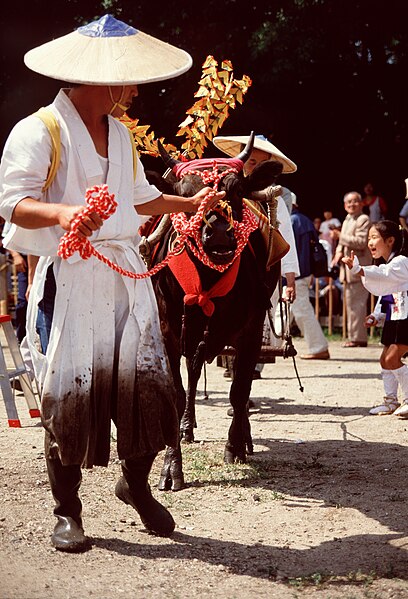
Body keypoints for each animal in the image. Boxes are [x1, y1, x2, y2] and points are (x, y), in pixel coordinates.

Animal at [147, 136, 284, 492]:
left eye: (235, 190)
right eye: (184, 194)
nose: (219, 233)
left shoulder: (251, 330)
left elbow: (240, 391)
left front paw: (235, 446)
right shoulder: (168, 333)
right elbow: (177, 393)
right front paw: (172, 466)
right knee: (194, 375)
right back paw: (187, 426)